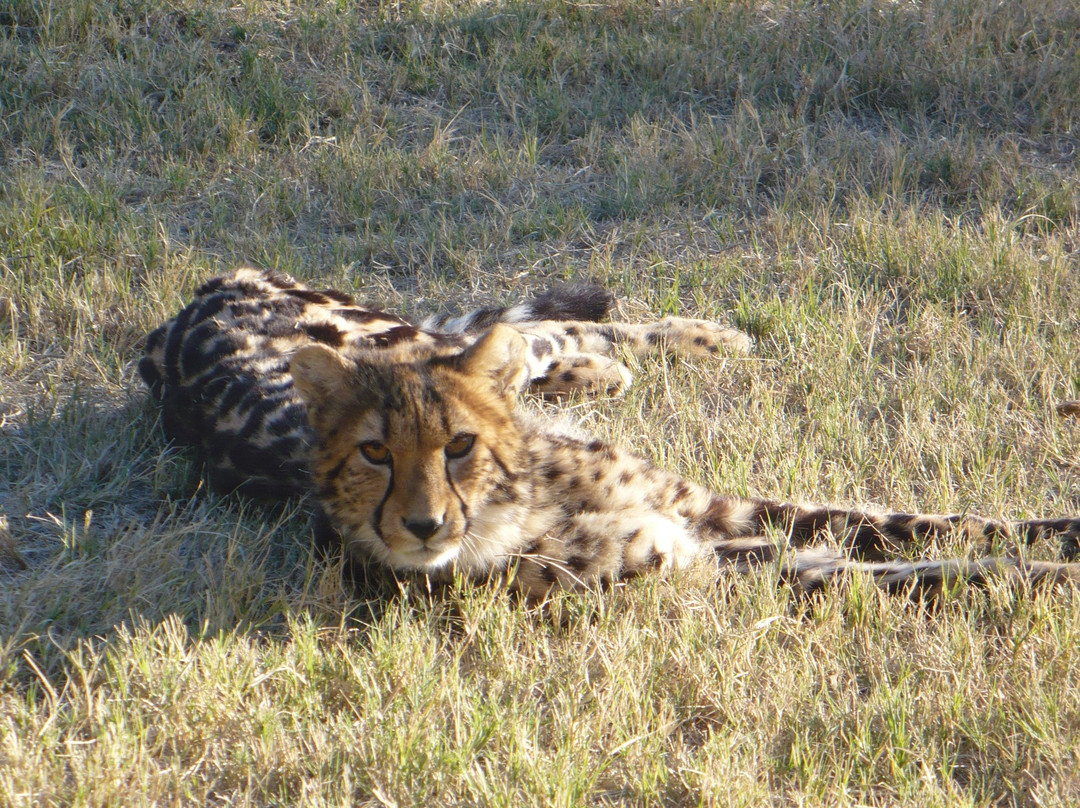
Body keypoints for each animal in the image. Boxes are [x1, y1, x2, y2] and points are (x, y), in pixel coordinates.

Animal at [289, 323, 1080, 600]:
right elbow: (916, 569)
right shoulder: (709, 556)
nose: (423, 526)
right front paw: (1052, 575)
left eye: (458, 444)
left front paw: (1056, 534)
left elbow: (916, 526)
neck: (525, 499)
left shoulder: (717, 512)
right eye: (374, 452)